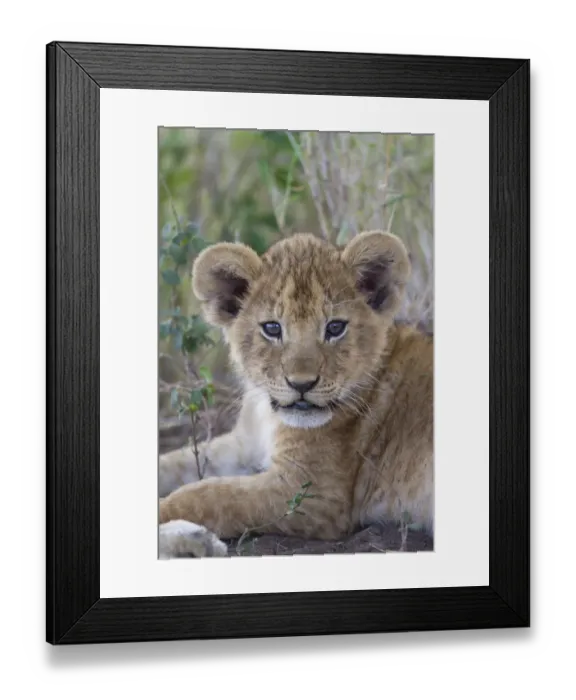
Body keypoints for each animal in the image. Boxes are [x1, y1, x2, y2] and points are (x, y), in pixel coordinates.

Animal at [158, 230, 433, 558]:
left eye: (335, 327)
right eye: (272, 328)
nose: (301, 385)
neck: (266, 413)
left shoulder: (313, 494)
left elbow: (206, 495)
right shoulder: (243, 445)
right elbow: (176, 462)